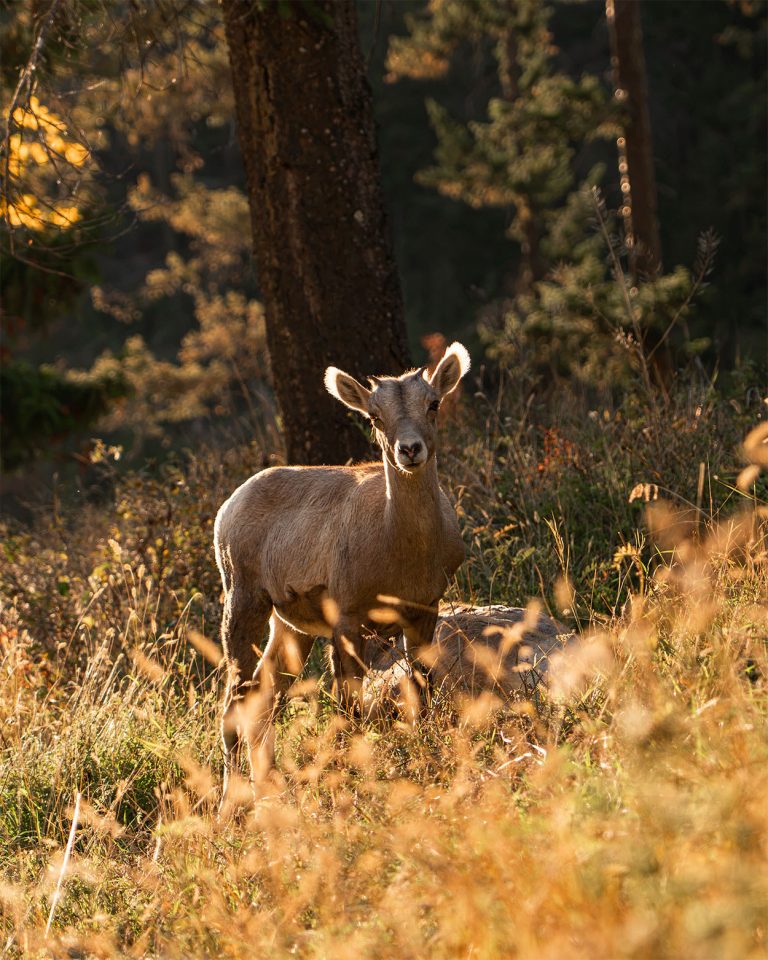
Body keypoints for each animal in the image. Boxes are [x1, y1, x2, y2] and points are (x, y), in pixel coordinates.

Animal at [214, 343, 470, 797]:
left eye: (433, 403)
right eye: (374, 416)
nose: (409, 450)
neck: (402, 554)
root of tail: (225, 510)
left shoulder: (424, 611)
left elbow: (422, 693)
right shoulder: (348, 620)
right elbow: (349, 711)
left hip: (291, 627)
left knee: (263, 698)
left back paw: (268, 790)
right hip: (242, 601)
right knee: (234, 704)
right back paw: (232, 802)